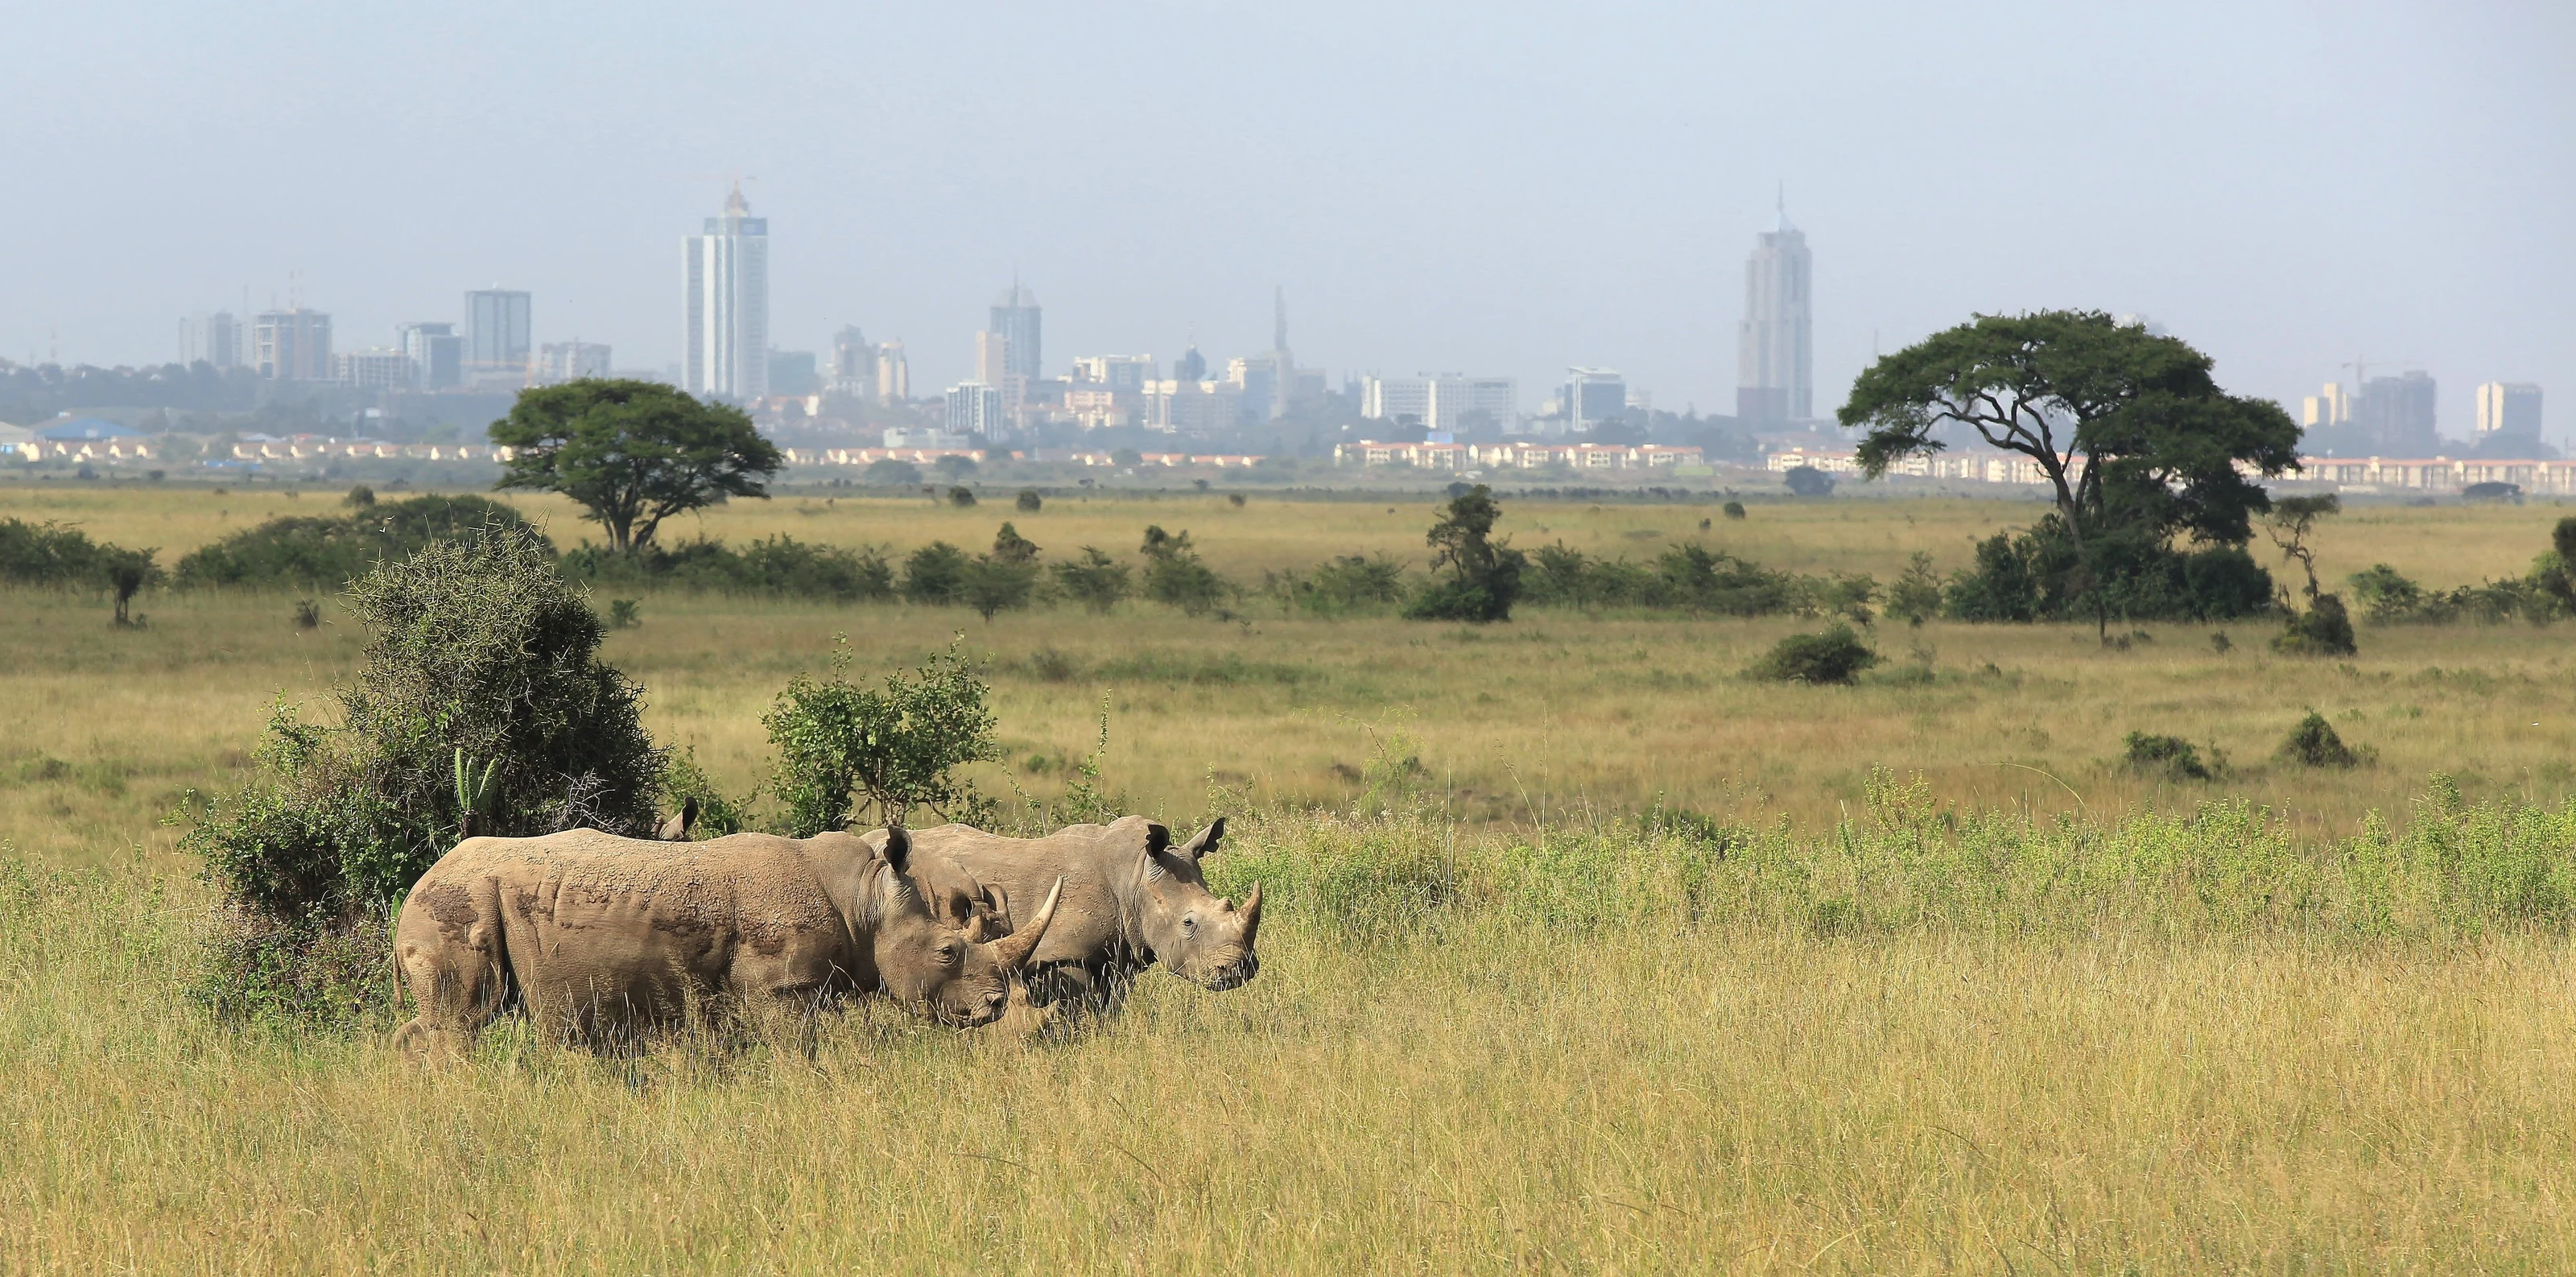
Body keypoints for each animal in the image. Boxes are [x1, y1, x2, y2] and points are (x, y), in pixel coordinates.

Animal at [391, 826, 1060, 1054]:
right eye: (948, 951)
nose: (995, 1007)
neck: (867, 900)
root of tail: (415, 886)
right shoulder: (780, 989)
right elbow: (798, 1054)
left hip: (460, 899)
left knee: (446, 1018)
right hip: (457, 900)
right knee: (465, 1018)